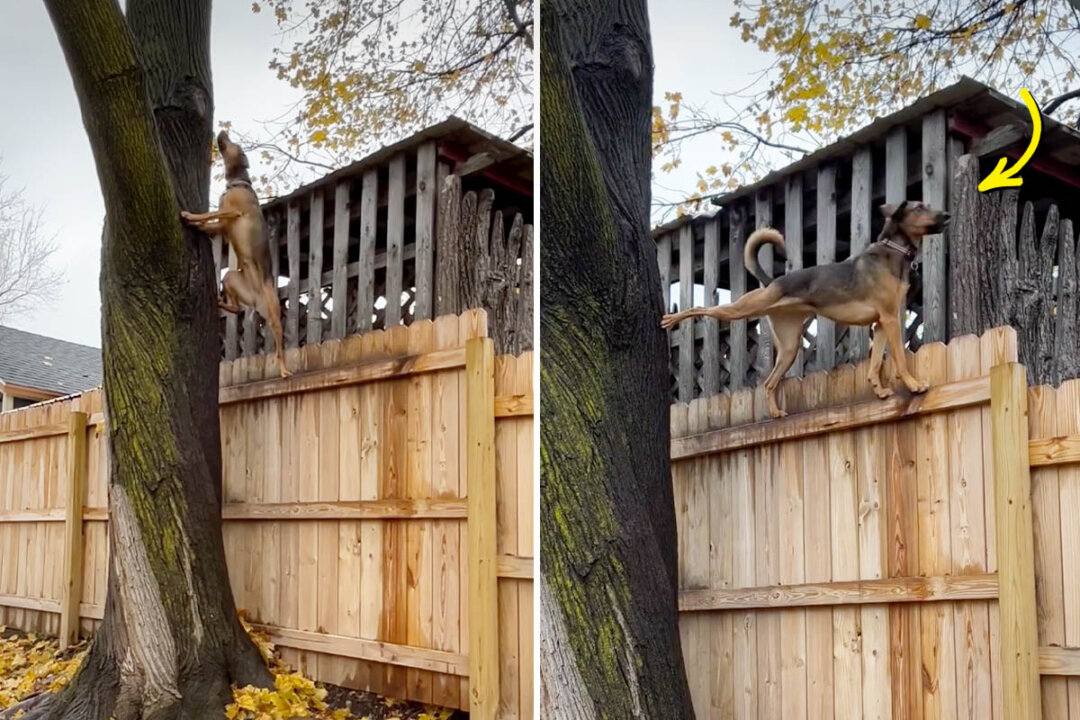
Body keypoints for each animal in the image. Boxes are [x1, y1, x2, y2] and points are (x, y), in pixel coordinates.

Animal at [182, 132, 291, 379]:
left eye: (234, 145)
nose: (223, 132)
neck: (237, 182)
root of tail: (257, 299)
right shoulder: (223, 223)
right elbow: (210, 223)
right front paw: (196, 225)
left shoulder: (231, 211)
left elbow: (209, 213)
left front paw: (190, 215)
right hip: (231, 277)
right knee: (235, 307)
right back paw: (220, 301)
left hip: (274, 314)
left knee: (280, 347)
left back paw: (283, 370)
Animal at [660, 199, 950, 418]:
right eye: (919, 207)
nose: (946, 214)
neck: (893, 251)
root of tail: (772, 281)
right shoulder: (890, 319)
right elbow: (899, 358)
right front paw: (914, 385)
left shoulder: (880, 324)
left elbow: (875, 363)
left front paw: (879, 391)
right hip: (744, 308)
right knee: (702, 308)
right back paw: (672, 319)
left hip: (789, 345)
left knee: (768, 383)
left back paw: (776, 412)